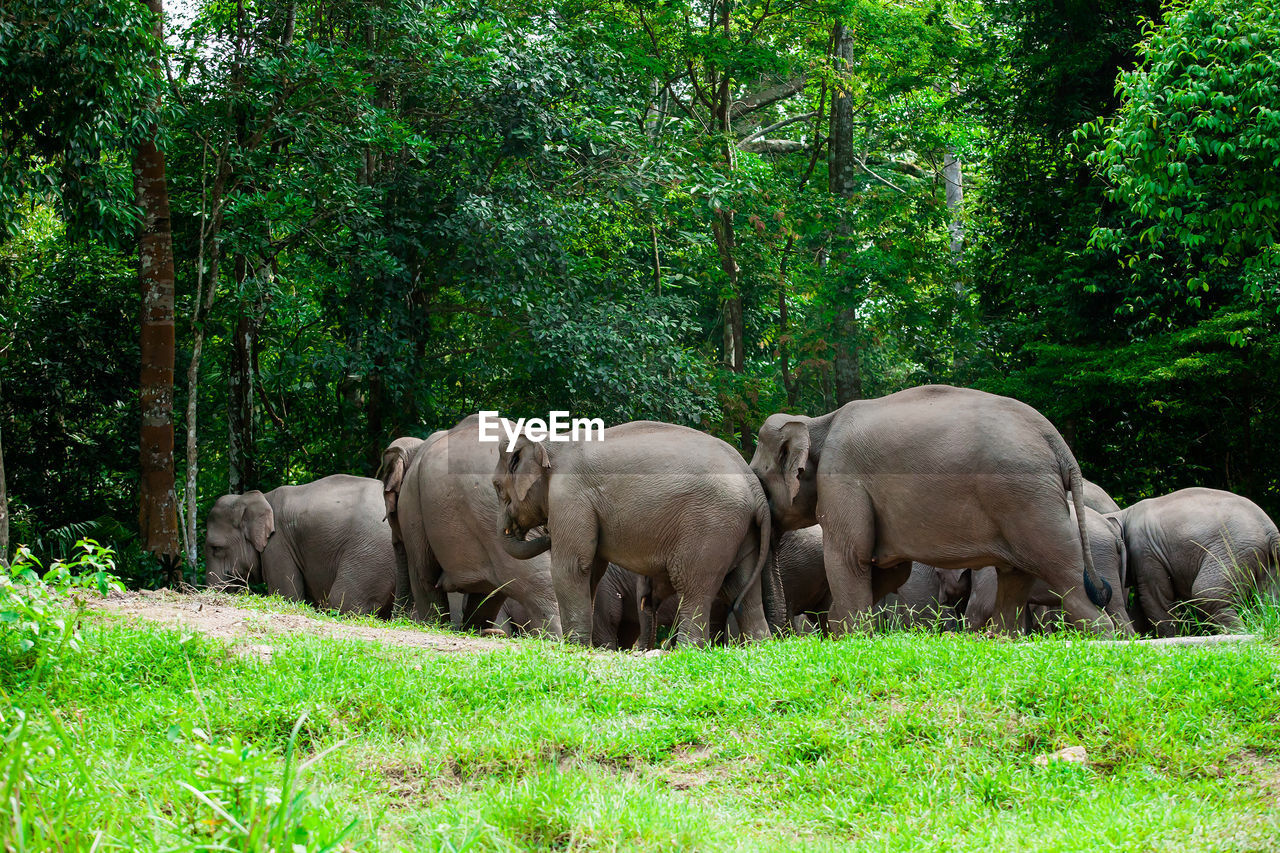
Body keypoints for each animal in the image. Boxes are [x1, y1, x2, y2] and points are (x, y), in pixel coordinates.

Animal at [203, 471, 394, 617]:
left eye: (216, 548)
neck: (261, 497)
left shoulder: (277, 544)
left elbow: (287, 595)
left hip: (371, 554)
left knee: (343, 602)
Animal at [378, 412, 560, 630]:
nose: (397, 620)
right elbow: (487, 595)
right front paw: (474, 629)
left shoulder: (412, 503)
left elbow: (423, 577)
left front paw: (435, 625)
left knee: (536, 583)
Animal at [494, 417, 778, 645]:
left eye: (496, 486)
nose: (548, 533)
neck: (552, 441)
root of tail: (755, 487)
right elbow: (592, 569)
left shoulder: (570, 496)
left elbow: (573, 566)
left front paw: (573, 647)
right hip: (743, 529)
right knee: (743, 589)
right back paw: (759, 646)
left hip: (711, 525)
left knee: (694, 585)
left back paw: (687, 649)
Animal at [747, 381, 1116, 635]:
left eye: (759, 476)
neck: (818, 422)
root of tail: (1058, 444)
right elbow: (890, 570)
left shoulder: (841, 477)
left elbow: (850, 558)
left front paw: (848, 636)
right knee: (1014, 580)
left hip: (1027, 499)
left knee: (1065, 576)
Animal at [1105, 484, 1274, 630]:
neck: (1124, 514)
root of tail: (1271, 529)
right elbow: (1143, 606)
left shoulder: (1145, 553)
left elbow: (1155, 601)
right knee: (1268, 599)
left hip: (1232, 550)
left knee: (1206, 594)